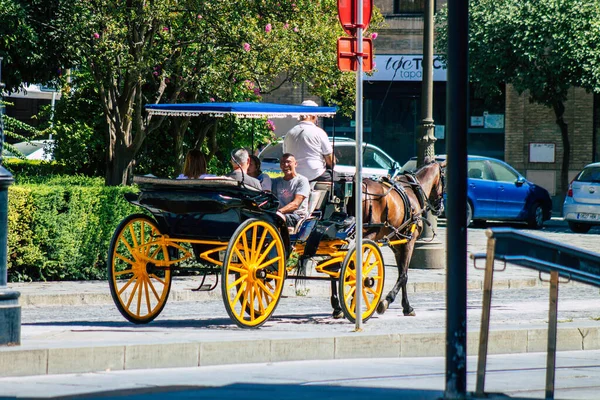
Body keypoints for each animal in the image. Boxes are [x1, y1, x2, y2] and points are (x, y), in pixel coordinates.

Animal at [346, 161, 446, 318]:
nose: (440, 207)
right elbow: (404, 275)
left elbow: (401, 273)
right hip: (368, 235)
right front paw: (387, 301)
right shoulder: (409, 242)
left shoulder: (398, 246)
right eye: (444, 179)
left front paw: (406, 306)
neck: (415, 190)